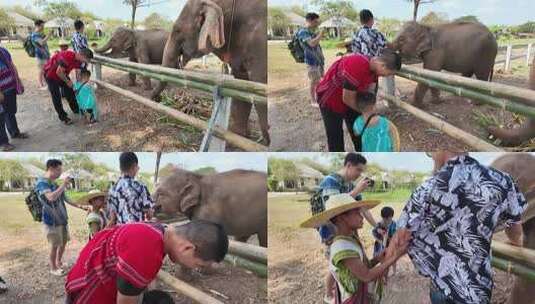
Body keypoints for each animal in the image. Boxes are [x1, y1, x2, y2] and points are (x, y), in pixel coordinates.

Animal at [149, 0, 270, 145]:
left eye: (177, 30)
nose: (157, 99)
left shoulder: (258, 46)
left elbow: (259, 89)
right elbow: (242, 88)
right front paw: (238, 137)